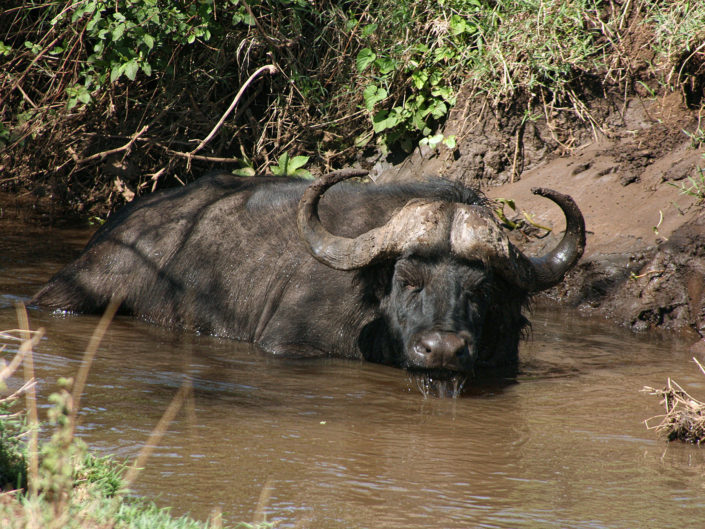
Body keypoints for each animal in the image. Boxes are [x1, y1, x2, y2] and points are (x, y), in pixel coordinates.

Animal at [32, 169, 585, 381]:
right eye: (408, 279)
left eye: (481, 290)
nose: (444, 349)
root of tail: (119, 224)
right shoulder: (287, 345)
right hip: (71, 290)